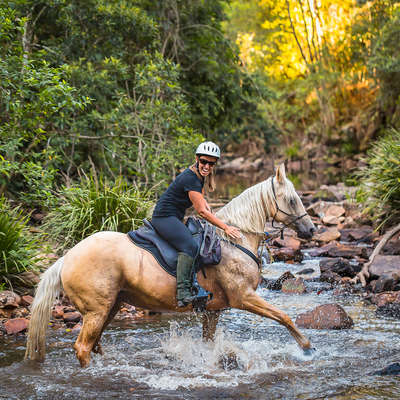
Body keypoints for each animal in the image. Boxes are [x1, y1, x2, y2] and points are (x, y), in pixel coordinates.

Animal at [25, 162, 316, 366]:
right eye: (292, 199)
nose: (312, 230)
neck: (235, 239)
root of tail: (67, 257)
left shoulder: (213, 310)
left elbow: (209, 342)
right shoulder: (244, 297)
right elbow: (284, 317)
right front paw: (307, 348)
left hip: (110, 306)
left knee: (94, 344)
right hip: (96, 310)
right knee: (83, 348)